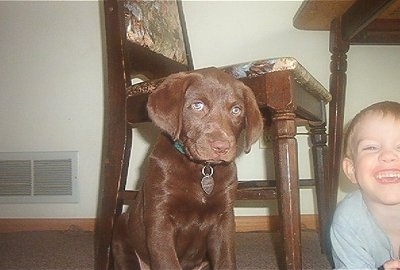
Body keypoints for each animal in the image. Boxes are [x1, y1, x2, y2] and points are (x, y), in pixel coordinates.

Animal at [111, 68, 262, 270]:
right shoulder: (160, 218)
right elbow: (167, 262)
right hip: (121, 233)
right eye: (197, 105)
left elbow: (226, 260)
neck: (202, 168)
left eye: (236, 110)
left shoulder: (224, 219)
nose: (221, 146)